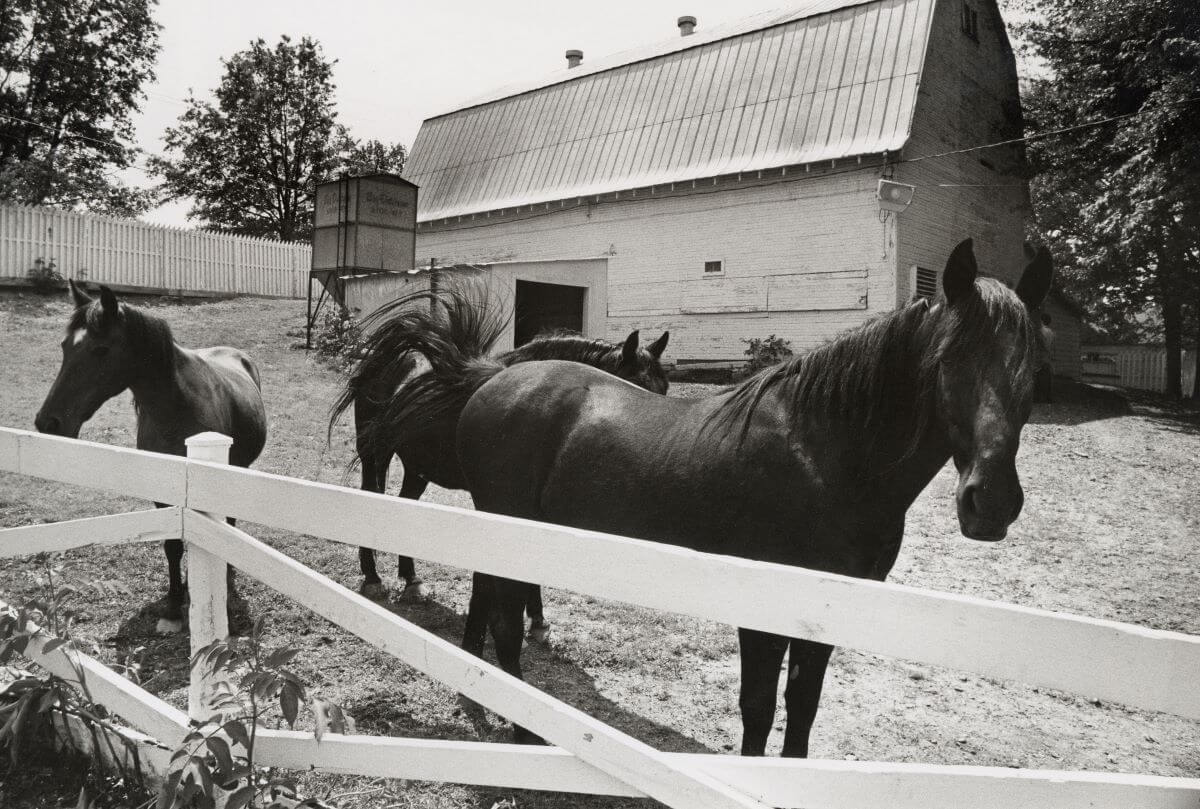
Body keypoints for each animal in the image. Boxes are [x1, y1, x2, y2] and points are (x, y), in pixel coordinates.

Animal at [35, 282, 267, 628]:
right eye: (64, 346)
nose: (48, 422)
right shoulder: (163, 491)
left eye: (100, 349)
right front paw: (172, 605)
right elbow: (172, 546)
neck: (177, 409)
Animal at [331, 280, 667, 628]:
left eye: (664, 388)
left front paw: (536, 619)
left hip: (416, 466)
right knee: (371, 495)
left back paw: (411, 581)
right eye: (634, 385)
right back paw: (373, 578)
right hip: (375, 455)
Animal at [446, 237, 1056, 748]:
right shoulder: (764, 608)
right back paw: (525, 733)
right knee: (505, 626)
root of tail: (494, 382)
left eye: (1033, 368)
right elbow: (759, 707)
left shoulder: (825, 611)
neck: (823, 455)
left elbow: (803, 706)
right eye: (950, 359)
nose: (991, 502)